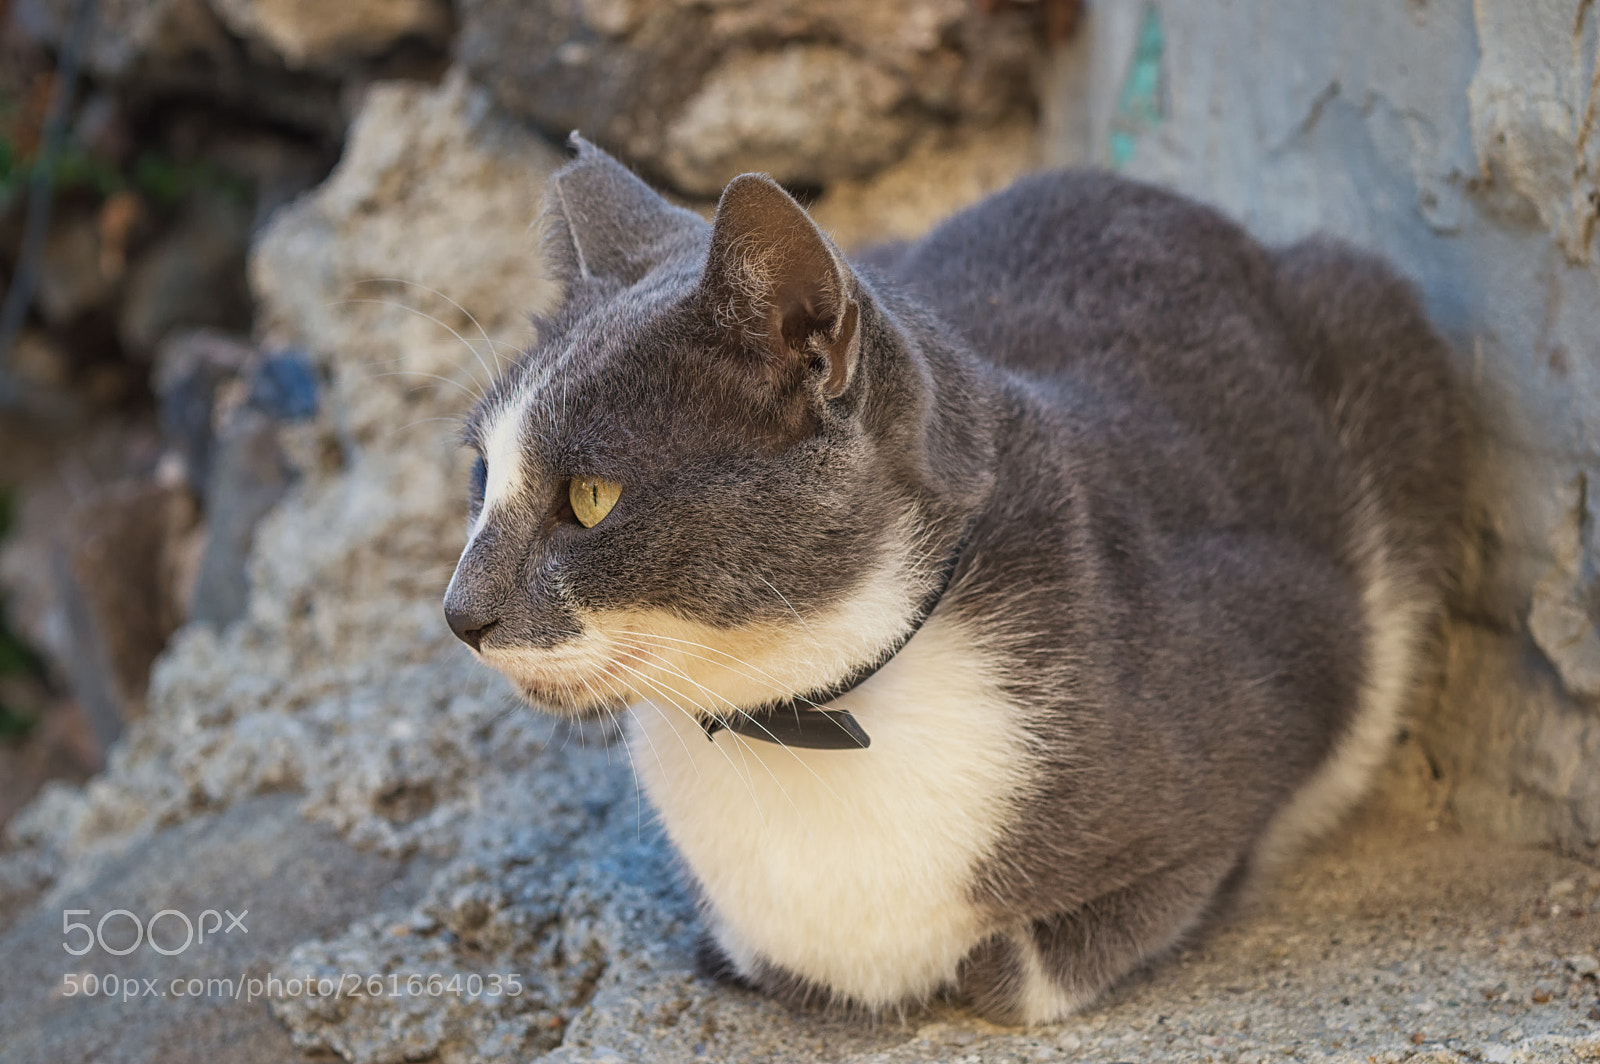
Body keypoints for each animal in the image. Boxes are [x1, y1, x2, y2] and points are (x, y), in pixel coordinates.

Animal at [444, 135, 1465, 1024]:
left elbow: (1071, 946)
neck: (792, 722)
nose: (460, 614)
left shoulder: (1295, 655)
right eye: (484, 475)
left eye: (590, 497)